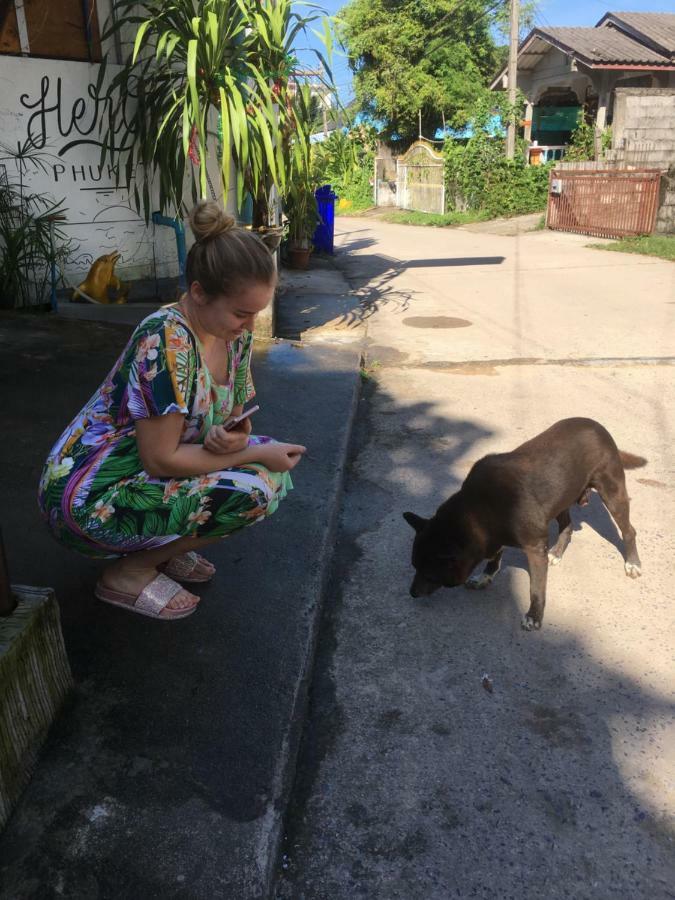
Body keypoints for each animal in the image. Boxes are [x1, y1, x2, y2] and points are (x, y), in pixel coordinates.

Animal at [404, 418, 648, 628]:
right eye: (415, 566)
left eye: (429, 573)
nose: (412, 593)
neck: (479, 508)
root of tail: (599, 427)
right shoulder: (493, 536)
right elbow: (494, 558)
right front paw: (485, 577)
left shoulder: (535, 549)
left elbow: (536, 588)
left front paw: (534, 616)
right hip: (560, 498)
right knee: (567, 527)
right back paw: (557, 553)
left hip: (612, 493)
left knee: (629, 531)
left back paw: (633, 563)